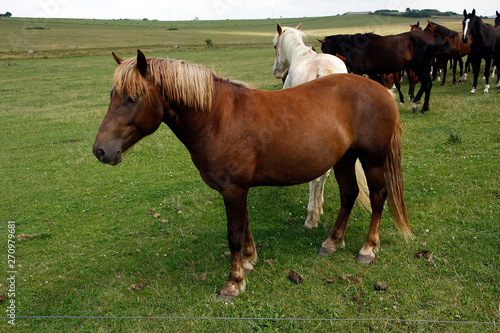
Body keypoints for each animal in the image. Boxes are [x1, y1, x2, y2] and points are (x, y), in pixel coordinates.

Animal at [94, 50, 414, 300]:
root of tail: (381, 90)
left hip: (372, 160)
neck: (217, 119)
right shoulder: (238, 189)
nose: (101, 150)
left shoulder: (233, 189)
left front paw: (234, 283)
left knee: (378, 197)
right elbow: (244, 226)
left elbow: (234, 234)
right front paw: (249, 261)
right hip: (345, 159)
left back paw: (368, 249)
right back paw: (332, 242)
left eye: (133, 98)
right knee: (349, 194)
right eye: (112, 95)